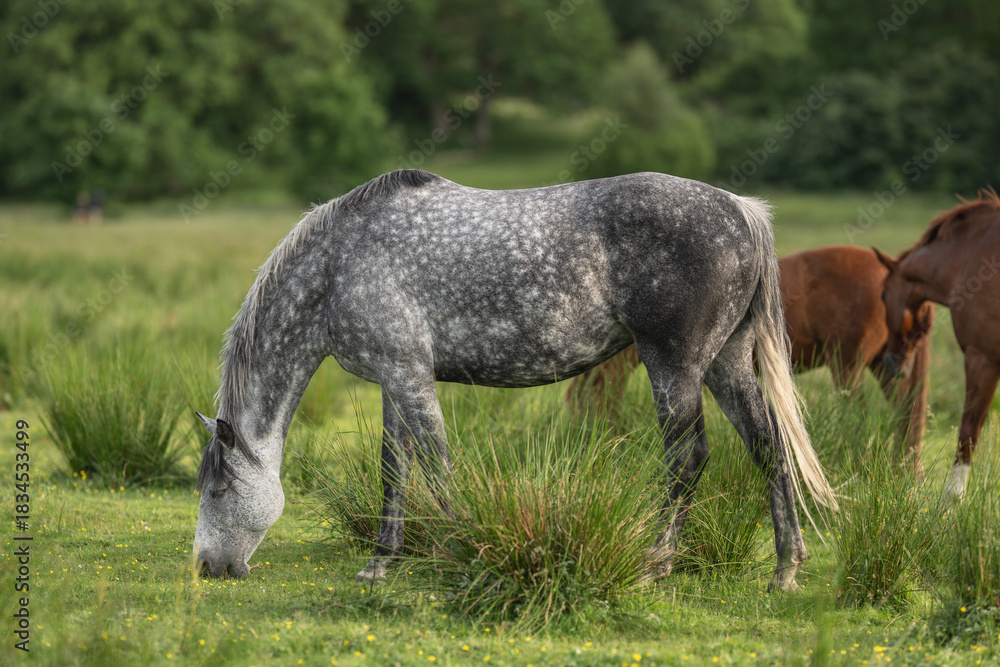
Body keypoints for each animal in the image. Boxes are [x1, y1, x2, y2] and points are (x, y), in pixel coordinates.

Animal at [192, 169, 837, 592]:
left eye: (217, 490)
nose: (205, 566)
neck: (339, 264)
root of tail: (741, 209)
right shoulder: (393, 378)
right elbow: (394, 468)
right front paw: (381, 562)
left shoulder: (408, 376)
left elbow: (437, 464)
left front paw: (462, 552)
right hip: (728, 363)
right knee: (767, 444)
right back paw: (785, 570)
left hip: (674, 367)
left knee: (687, 457)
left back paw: (658, 561)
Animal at [876, 187, 1000, 501]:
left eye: (883, 295)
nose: (890, 362)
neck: (971, 254)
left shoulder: (982, 358)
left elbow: (968, 432)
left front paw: (952, 498)